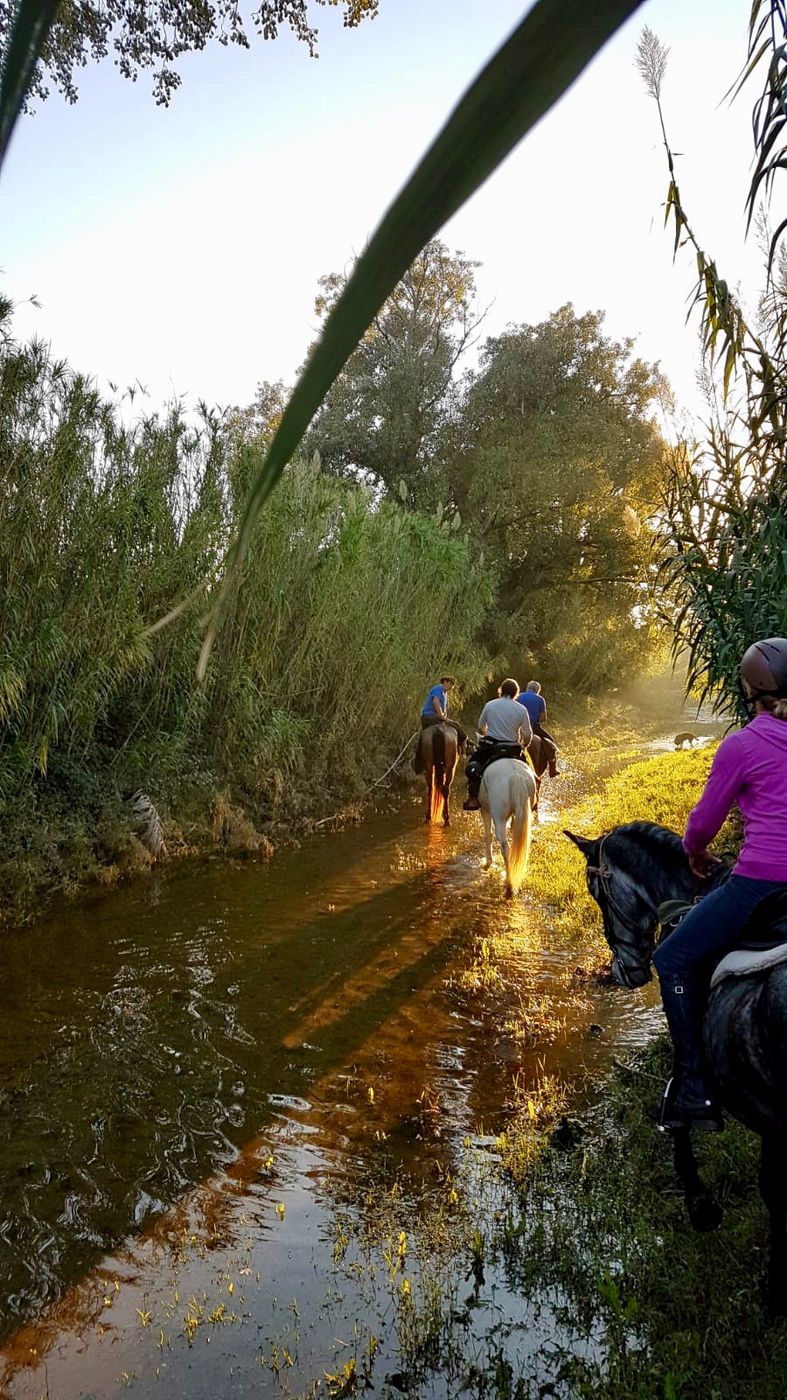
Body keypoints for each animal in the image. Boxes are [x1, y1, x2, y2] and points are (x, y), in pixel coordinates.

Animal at [478, 756, 532, 896]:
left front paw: (488, 862)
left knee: (505, 848)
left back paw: (509, 884)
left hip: (499, 819)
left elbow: (488, 835)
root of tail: (515, 775)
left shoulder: (484, 810)